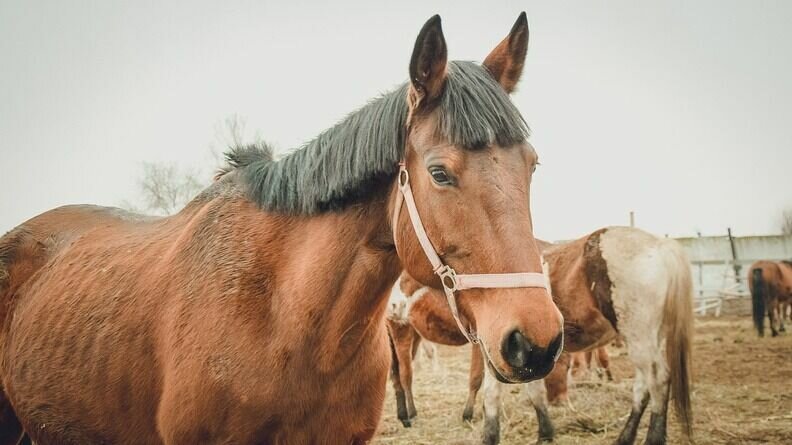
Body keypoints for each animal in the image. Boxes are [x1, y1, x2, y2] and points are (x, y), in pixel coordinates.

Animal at [390, 227, 692, 444]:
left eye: (406, 274)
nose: (391, 308)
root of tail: (662, 246)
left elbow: (490, 391)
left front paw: (490, 433)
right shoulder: (524, 352)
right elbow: (533, 389)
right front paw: (545, 430)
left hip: (640, 338)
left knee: (658, 380)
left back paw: (654, 437)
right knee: (643, 386)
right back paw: (625, 436)